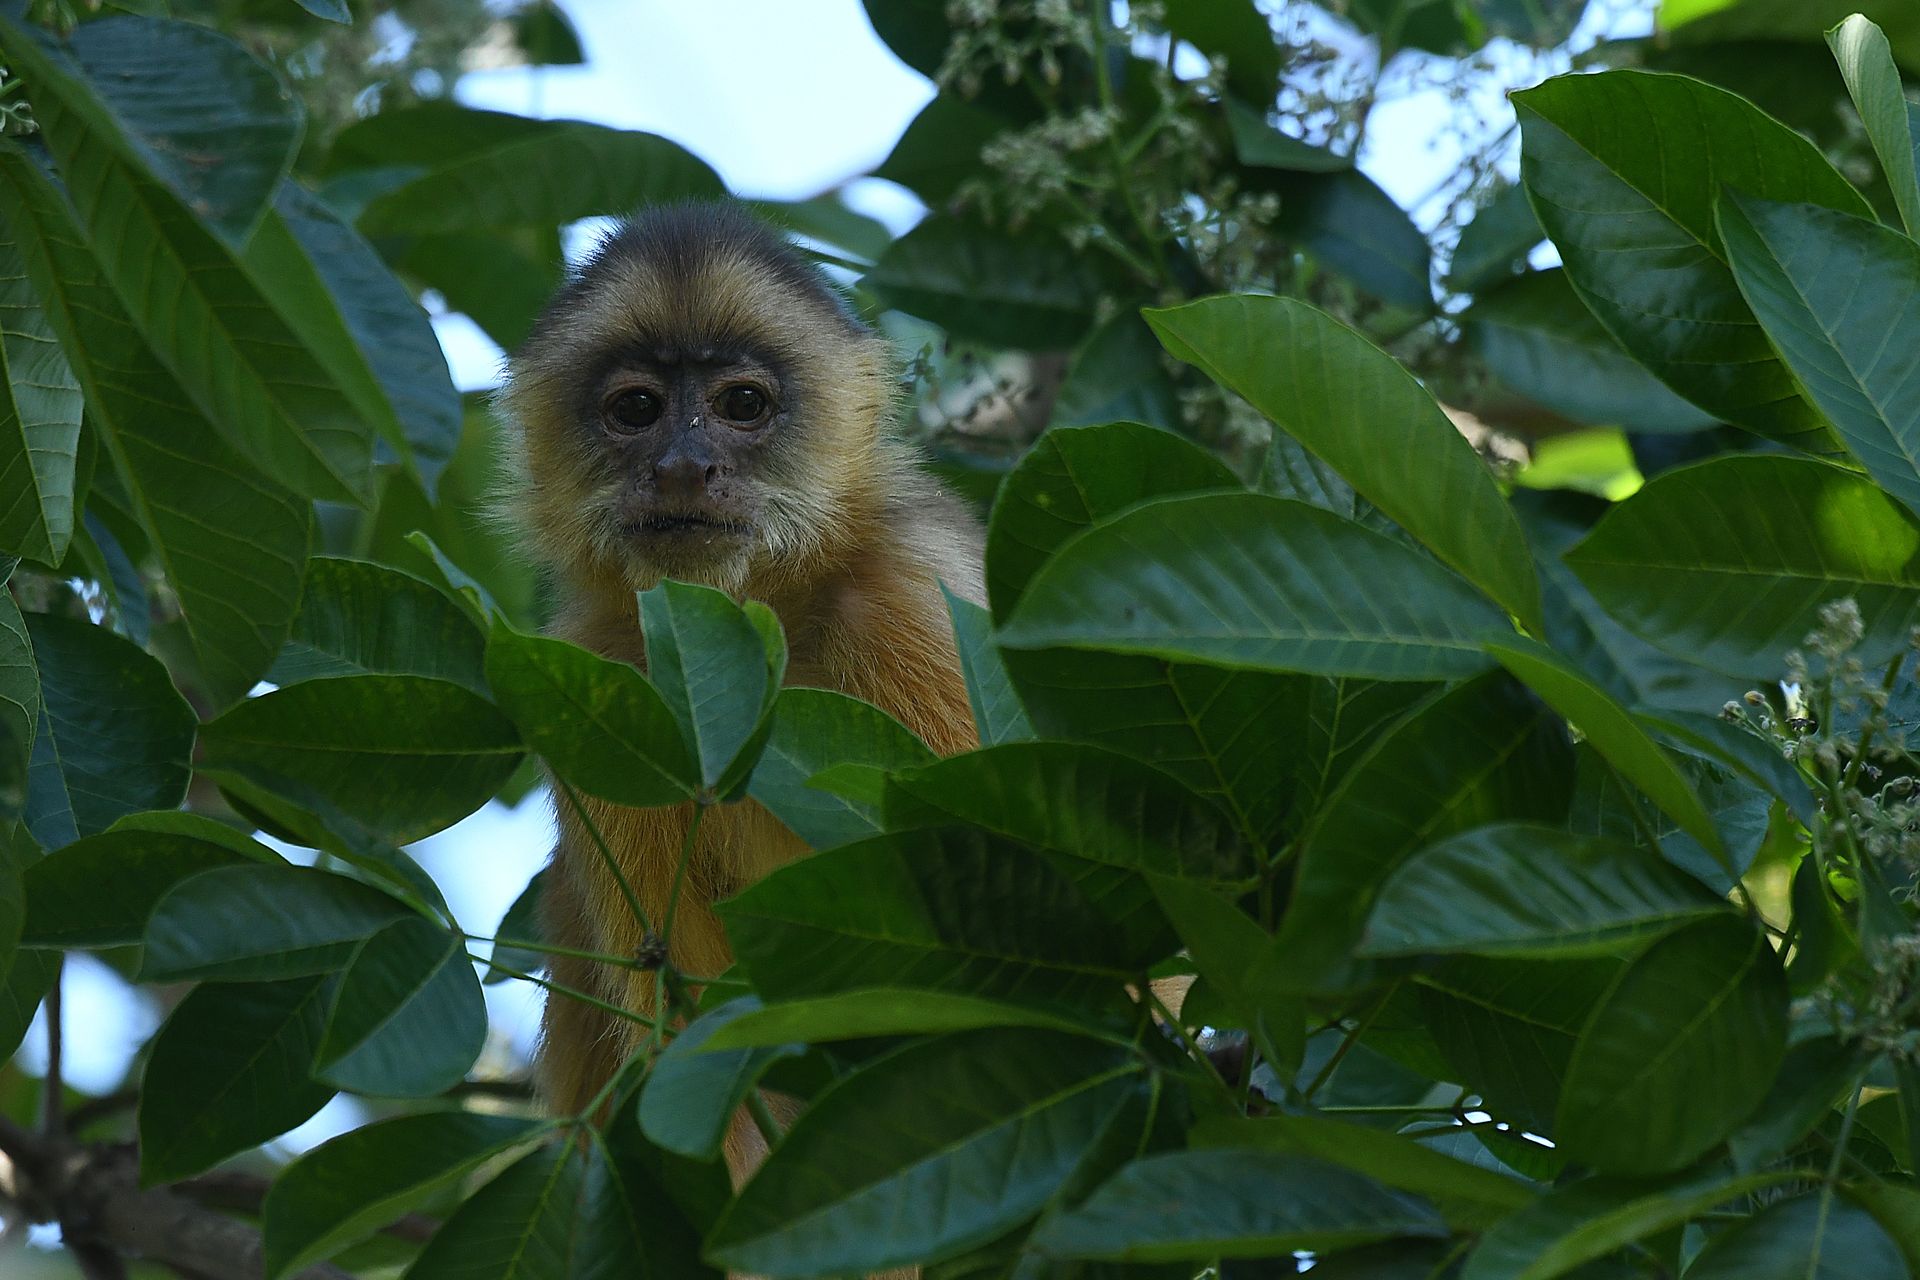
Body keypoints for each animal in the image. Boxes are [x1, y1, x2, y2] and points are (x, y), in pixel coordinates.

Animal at [496, 201, 985, 1176]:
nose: (685, 467)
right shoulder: (607, 667)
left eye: (741, 406)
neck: (758, 621)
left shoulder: (917, 597)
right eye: (638, 409)